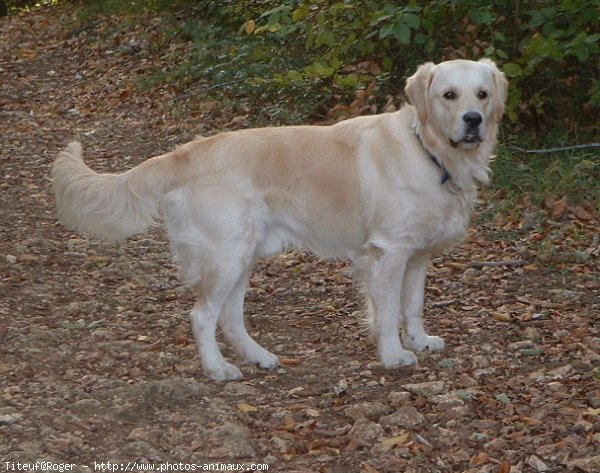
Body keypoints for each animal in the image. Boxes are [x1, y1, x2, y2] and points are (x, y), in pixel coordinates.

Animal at [54, 58, 508, 380]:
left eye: (482, 94)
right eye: (449, 95)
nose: (473, 121)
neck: (428, 150)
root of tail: (187, 152)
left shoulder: (417, 254)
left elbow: (412, 305)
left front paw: (419, 340)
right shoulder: (389, 251)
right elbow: (389, 310)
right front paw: (394, 354)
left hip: (243, 254)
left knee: (230, 316)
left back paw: (259, 357)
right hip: (227, 253)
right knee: (203, 316)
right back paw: (217, 369)